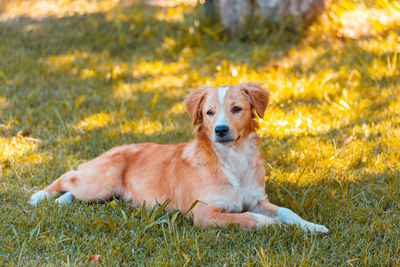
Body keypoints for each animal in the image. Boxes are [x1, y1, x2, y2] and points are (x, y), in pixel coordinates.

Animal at [28, 82, 328, 233]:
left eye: (236, 109)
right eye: (209, 112)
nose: (220, 130)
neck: (231, 160)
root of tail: (114, 148)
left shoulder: (257, 200)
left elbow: (287, 212)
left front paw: (311, 226)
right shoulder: (203, 213)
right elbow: (248, 218)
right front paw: (272, 224)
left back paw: (62, 202)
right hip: (100, 182)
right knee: (68, 175)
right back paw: (39, 196)